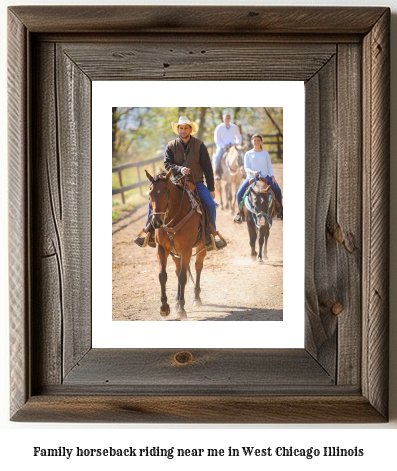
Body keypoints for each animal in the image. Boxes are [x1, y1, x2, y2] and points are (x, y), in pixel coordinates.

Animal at [146, 168, 207, 318]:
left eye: (166, 193)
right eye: (150, 193)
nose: (157, 222)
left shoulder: (186, 250)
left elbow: (183, 277)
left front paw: (181, 308)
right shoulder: (161, 249)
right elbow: (163, 276)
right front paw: (164, 307)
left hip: (201, 247)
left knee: (198, 267)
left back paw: (196, 298)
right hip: (175, 253)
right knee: (178, 270)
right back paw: (177, 301)